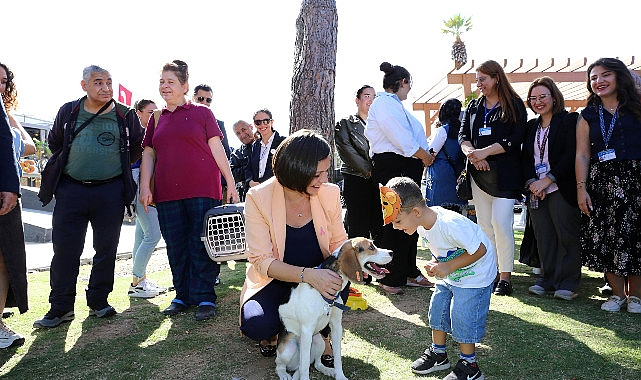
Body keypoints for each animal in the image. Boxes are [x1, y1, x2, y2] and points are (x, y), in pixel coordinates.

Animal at [276, 238, 390, 380]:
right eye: (371, 247)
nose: (392, 252)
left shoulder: (336, 326)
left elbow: (337, 357)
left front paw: (339, 375)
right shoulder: (307, 330)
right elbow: (305, 365)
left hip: (319, 341)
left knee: (316, 363)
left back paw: (327, 370)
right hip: (287, 350)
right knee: (281, 365)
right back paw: (284, 374)